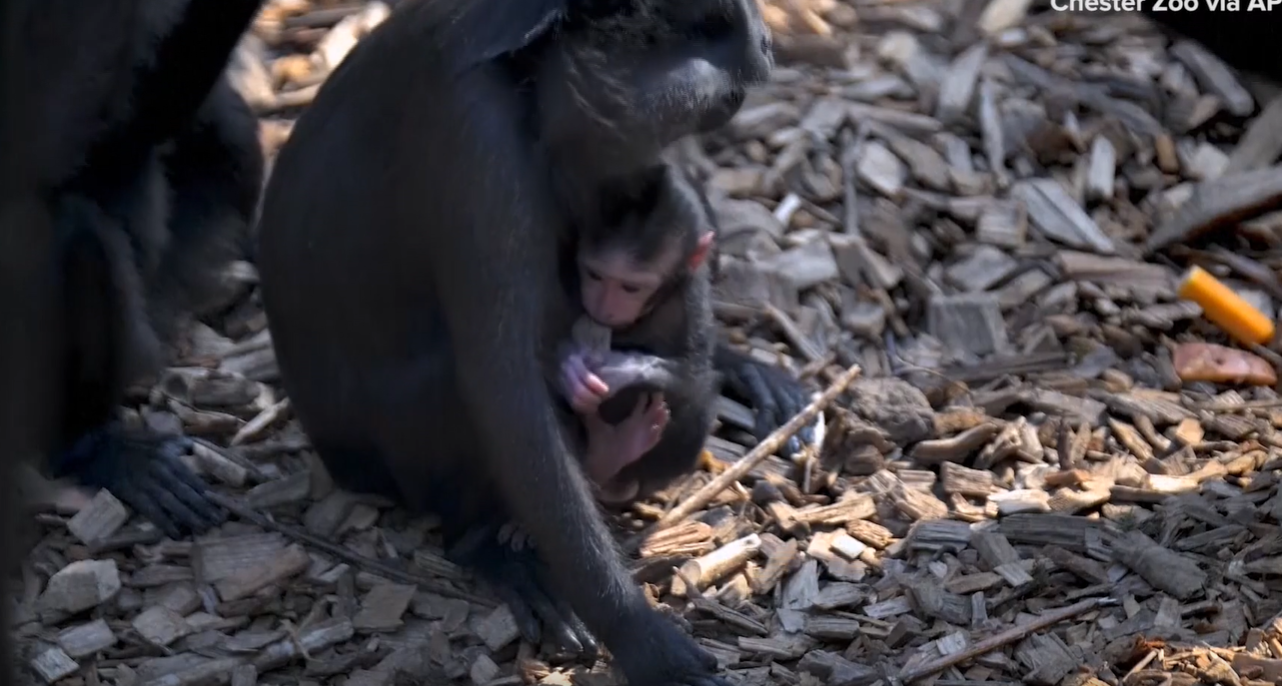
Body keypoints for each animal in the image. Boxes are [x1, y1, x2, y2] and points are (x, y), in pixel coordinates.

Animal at [255, 0, 772, 680]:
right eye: (715, 32)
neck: (531, 85)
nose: (766, 43)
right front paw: (637, 631)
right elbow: (507, 395)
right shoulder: (480, 144)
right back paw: (493, 541)